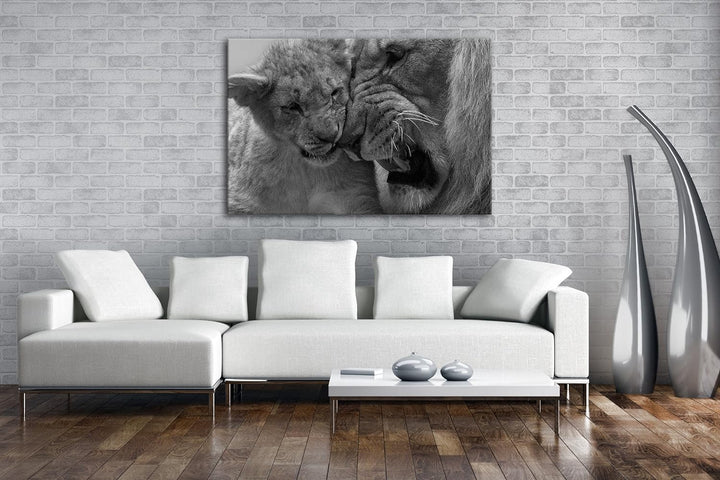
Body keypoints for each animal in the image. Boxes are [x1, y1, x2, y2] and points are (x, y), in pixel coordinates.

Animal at [227, 39, 381, 214]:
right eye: (293, 107)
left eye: (334, 92)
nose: (332, 136)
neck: (305, 172)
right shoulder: (240, 203)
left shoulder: (357, 197)